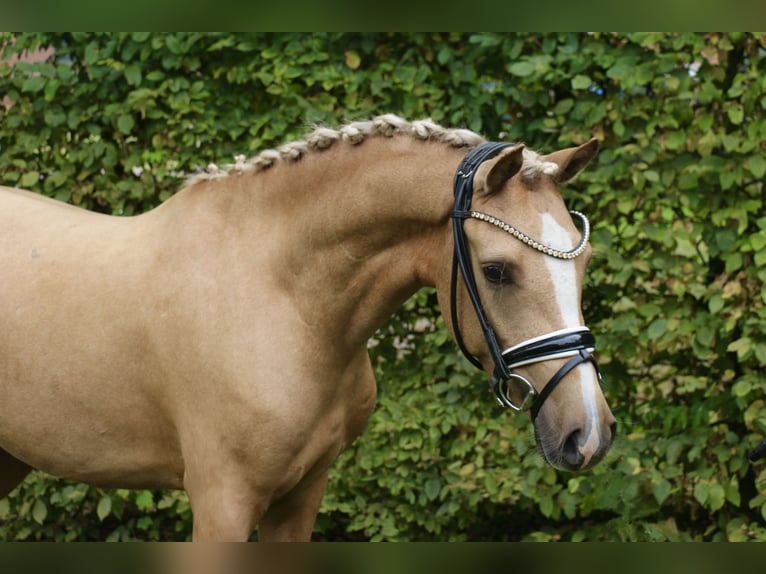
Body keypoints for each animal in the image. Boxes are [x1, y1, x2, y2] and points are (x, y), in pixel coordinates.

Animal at [0, 114, 615, 541]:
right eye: (496, 270)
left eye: (584, 261)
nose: (588, 434)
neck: (285, 300)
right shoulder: (222, 501)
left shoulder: (300, 497)